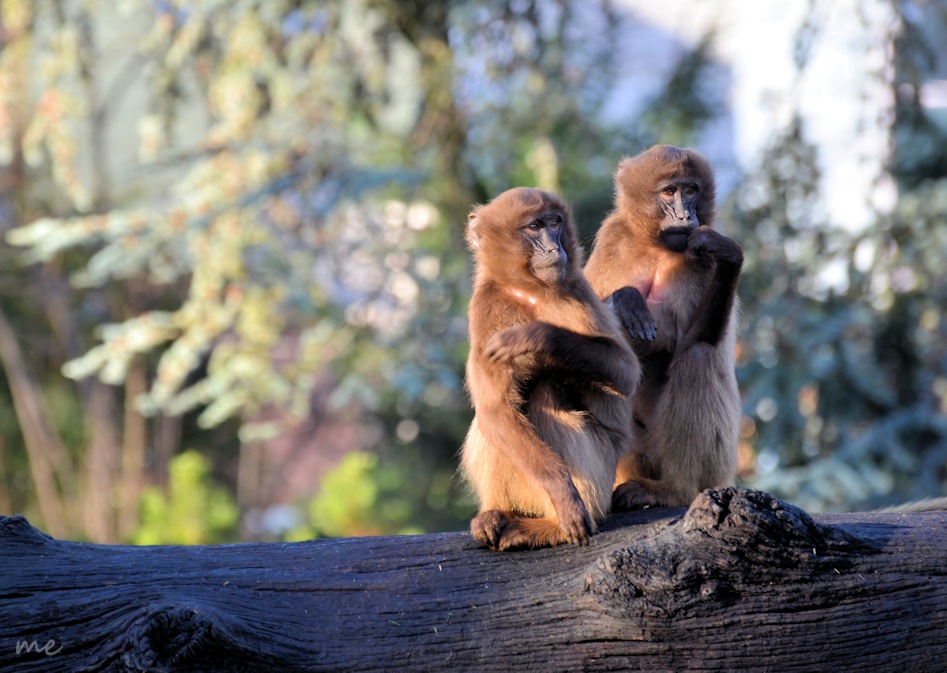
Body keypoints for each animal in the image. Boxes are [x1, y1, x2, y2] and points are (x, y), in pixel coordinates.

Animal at [460, 186, 636, 548]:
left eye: (554, 223)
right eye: (534, 227)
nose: (554, 247)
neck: (529, 292)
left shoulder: (575, 291)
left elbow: (625, 372)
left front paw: (535, 339)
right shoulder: (486, 307)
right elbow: (495, 410)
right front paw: (563, 495)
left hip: (600, 472)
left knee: (545, 388)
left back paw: (551, 525)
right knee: (498, 417)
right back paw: (498, 513)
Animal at [584, 144, 748, 506]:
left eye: (691, 190)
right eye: (670, 191)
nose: (685, 217)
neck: (657, 247)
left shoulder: (701, 257)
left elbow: (690, 341)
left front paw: (730, 257)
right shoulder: (613, 237)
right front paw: (627, 299)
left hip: (716, 463)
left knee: (697, 358)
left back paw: (673, 490)